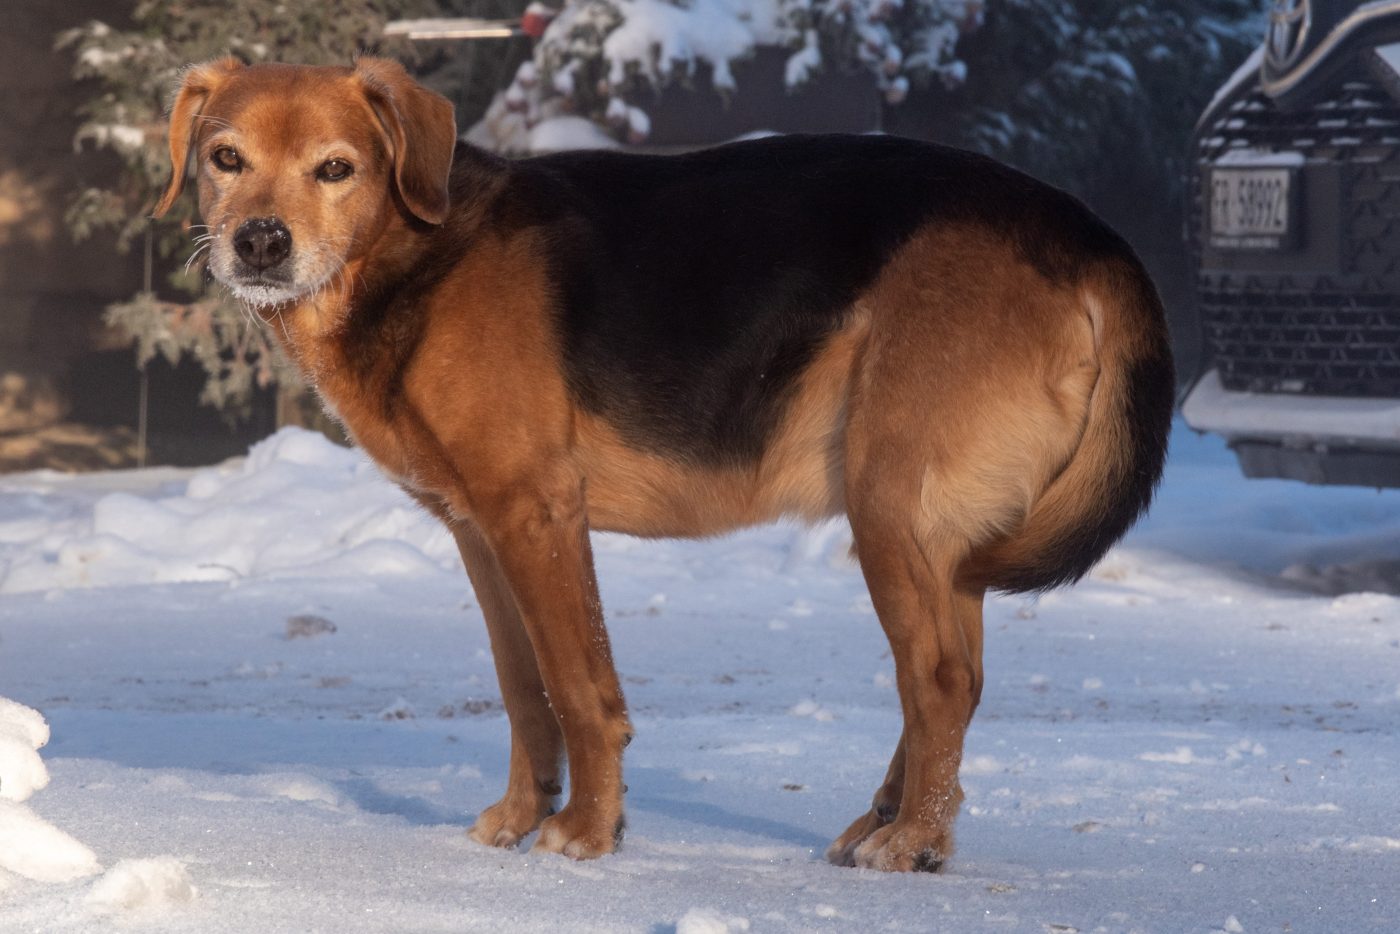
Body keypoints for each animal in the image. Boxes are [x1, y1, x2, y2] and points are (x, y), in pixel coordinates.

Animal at [158, 54, 1176, 873]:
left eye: (337, 168)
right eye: (224, 158)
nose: (259, 242)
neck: (413, 253)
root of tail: (1086, 232)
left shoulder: (538, 513)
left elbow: (578, 690)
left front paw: (587, 833)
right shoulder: (481, 532)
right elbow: (523, 690)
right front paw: (519, 820)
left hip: (890, 507)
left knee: (939, 682)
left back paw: (914, 842)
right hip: (935, 537)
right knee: (956, 684)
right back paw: (889, 823)